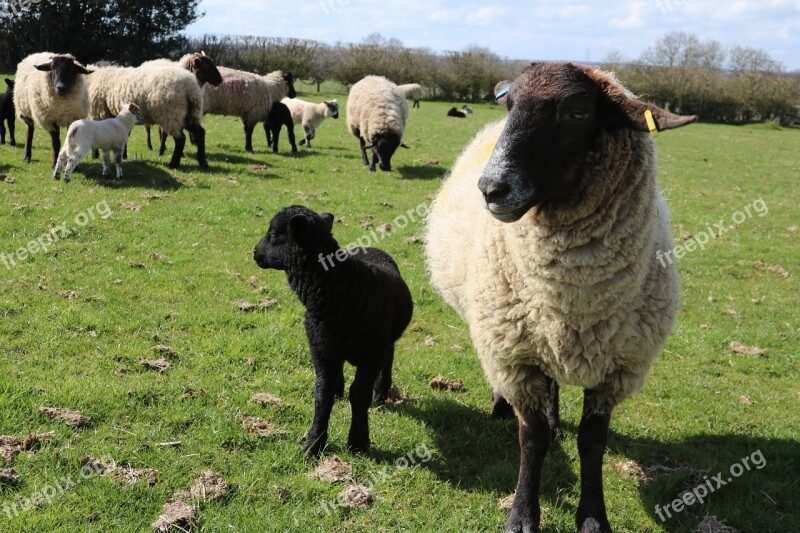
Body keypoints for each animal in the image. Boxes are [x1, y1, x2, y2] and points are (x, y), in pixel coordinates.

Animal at [252, 204, 416, 454]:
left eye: (273, 234)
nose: (254, 253)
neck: (339, 288)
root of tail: (369, 247)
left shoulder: (370, 355)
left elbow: (359, 394)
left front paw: (358, 442)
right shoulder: (320, 349)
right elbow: (322, 393)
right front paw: (313, 443)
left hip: (382, 339)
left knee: (388, 356)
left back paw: (381, 392)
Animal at [428, 63, 696, 532]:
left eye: (577, 112)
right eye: (510, 105)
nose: (491, 188)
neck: (577, 301)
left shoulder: (617, 369)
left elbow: (592, 442)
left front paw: (592, 517)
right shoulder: (518, 358)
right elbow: (530, 439)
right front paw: (522, 515)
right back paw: (506, 409)